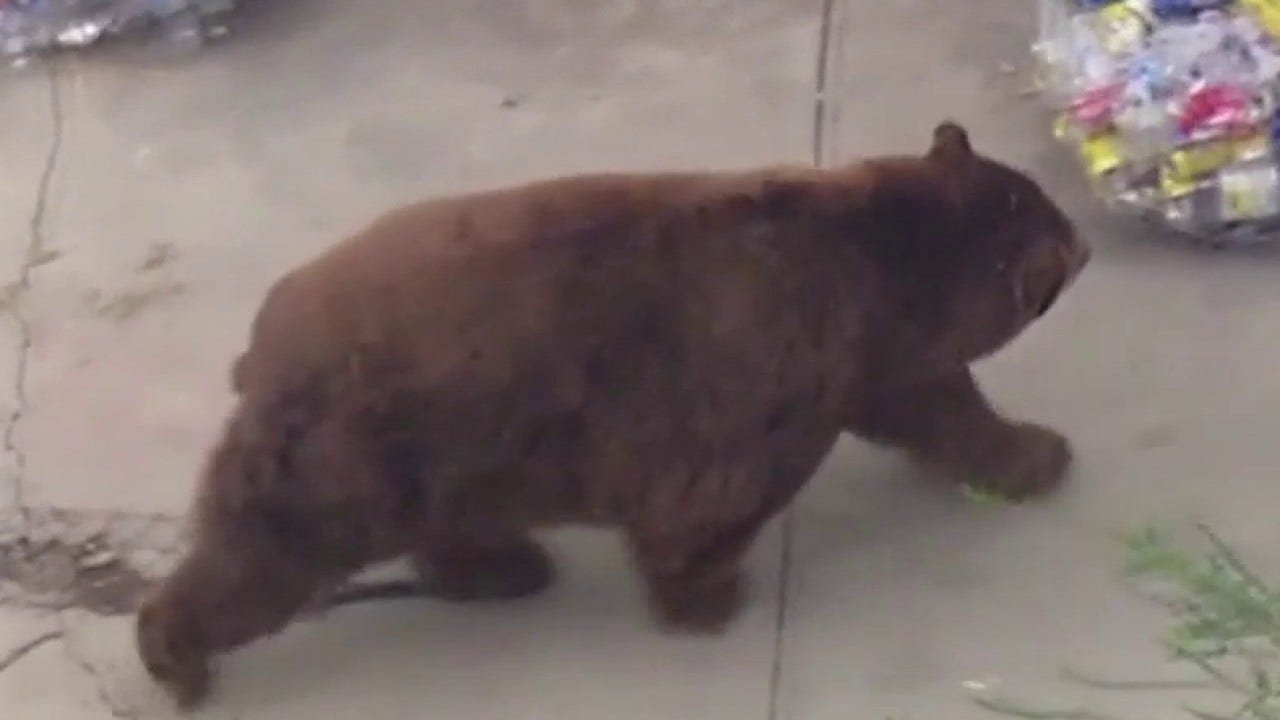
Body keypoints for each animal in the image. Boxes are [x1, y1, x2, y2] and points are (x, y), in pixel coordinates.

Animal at [136, 122, 1089, 709]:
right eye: (1058, 225)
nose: (1083, 246)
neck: (884, 265)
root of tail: (260, 345)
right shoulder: (772, 370)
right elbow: (708, 501)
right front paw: (707, 597)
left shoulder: (877, 357)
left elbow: (942, 407)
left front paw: (1034, 453)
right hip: (349, 451)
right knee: (258, 561)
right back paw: (176, 657)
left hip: (448, 456)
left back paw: (503, 568)